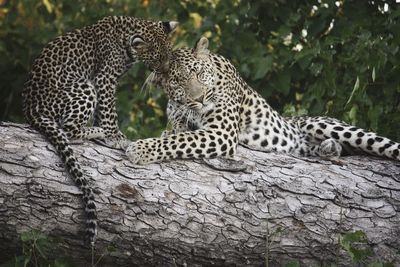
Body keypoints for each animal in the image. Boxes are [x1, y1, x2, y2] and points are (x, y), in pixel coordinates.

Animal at [22, 16, 177, 247]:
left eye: (169, 56)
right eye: (157, 59)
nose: (165, 73)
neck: (126, 40)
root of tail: (31, 111)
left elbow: (102, 111)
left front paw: (108, 133)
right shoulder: (104, 78)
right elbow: (109, 110)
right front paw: (114, 136)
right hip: (83, 87)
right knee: (68, 130)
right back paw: (97, 131)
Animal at [126, 36, 400, 165]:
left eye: (198, 73)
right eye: (177, 83)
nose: (200, 98)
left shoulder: (221, 132)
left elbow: (179, 141)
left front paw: (140, 149)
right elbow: (178, 130)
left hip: (325, 124)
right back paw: (328, 148)